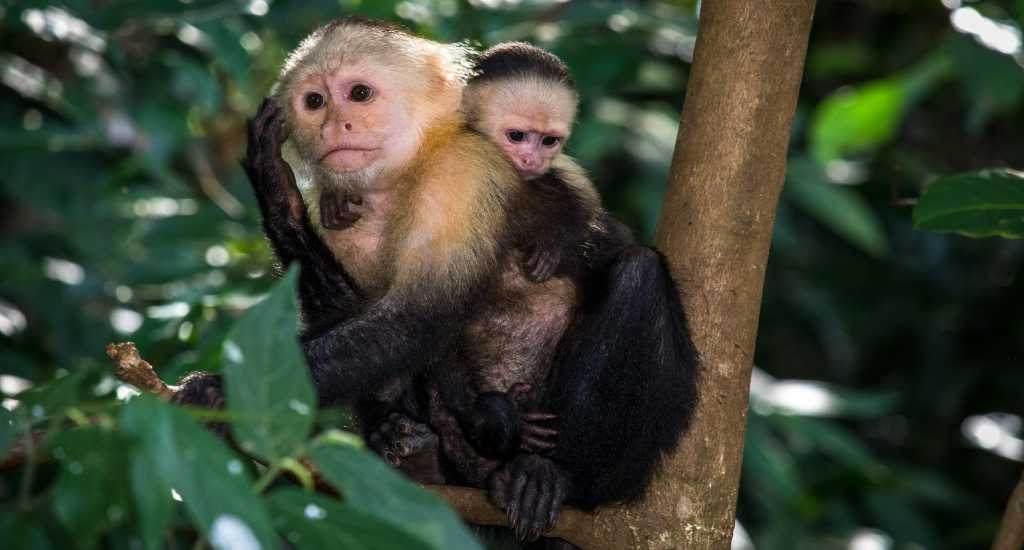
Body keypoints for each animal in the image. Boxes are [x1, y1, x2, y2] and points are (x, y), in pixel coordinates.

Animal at [173, 18, 698, 543]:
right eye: (315, 101)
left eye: (358, 93)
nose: (333, 126)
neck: (402, 176)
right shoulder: (340, 213)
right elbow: (360, 318)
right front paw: (275, 185)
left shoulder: (464, 174)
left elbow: (416, 319)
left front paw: (219, 391)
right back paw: (415, 455)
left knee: (638, 274)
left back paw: (551, 477)